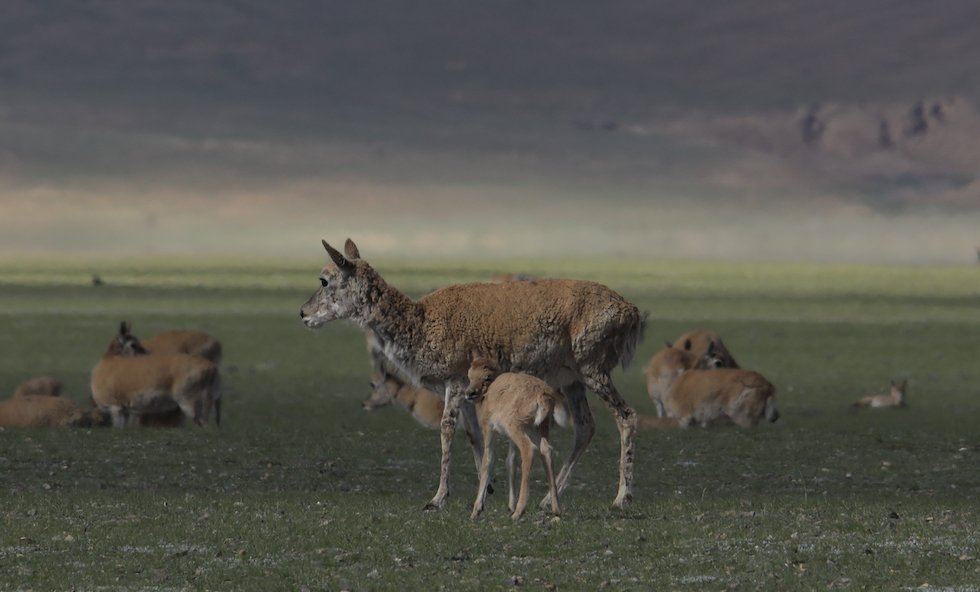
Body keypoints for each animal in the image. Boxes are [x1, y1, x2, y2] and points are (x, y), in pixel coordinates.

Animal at [91, 323, 222, 427]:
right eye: (133, 344)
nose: (149, 355)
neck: (108, 362)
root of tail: (211, 367)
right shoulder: (124, 411)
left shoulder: (116, 409)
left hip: (189, 404)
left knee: (203, 424)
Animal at [465, 356, 567, 520]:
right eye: (469, 375)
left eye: (487, 377)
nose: (469, 393)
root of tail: (543, 394)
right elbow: (510, 462)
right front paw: (509, 505)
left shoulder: (488, 429)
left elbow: (487, 462)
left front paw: (476, 510)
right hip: (539, 428)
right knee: (546, 451)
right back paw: (556, 509)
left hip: (515, 426)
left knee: (529, 449)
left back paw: (518, 512)